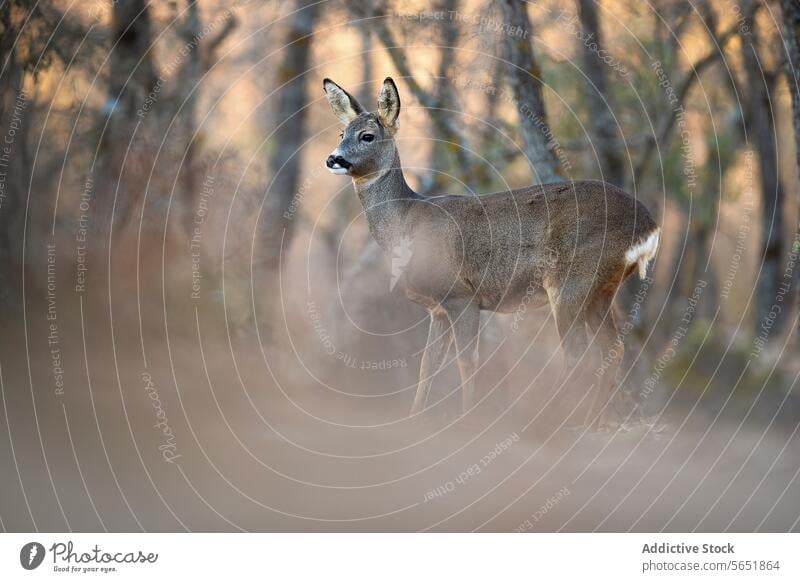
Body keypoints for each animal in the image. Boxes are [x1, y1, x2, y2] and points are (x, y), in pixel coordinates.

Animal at [322, 76, 660, 428]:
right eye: (341, 133)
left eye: (367, 135)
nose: (333, 159)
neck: (408, 223)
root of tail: (648, 225)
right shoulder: (436, 308)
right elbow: (428, 365)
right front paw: (415, 418)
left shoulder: (461, 296)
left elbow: (467, 361)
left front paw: (468, 419)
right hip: (601, 289)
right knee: (612, 349)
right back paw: (591, 421)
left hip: (572, 280)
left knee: (578, 354)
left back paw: (551, 420)